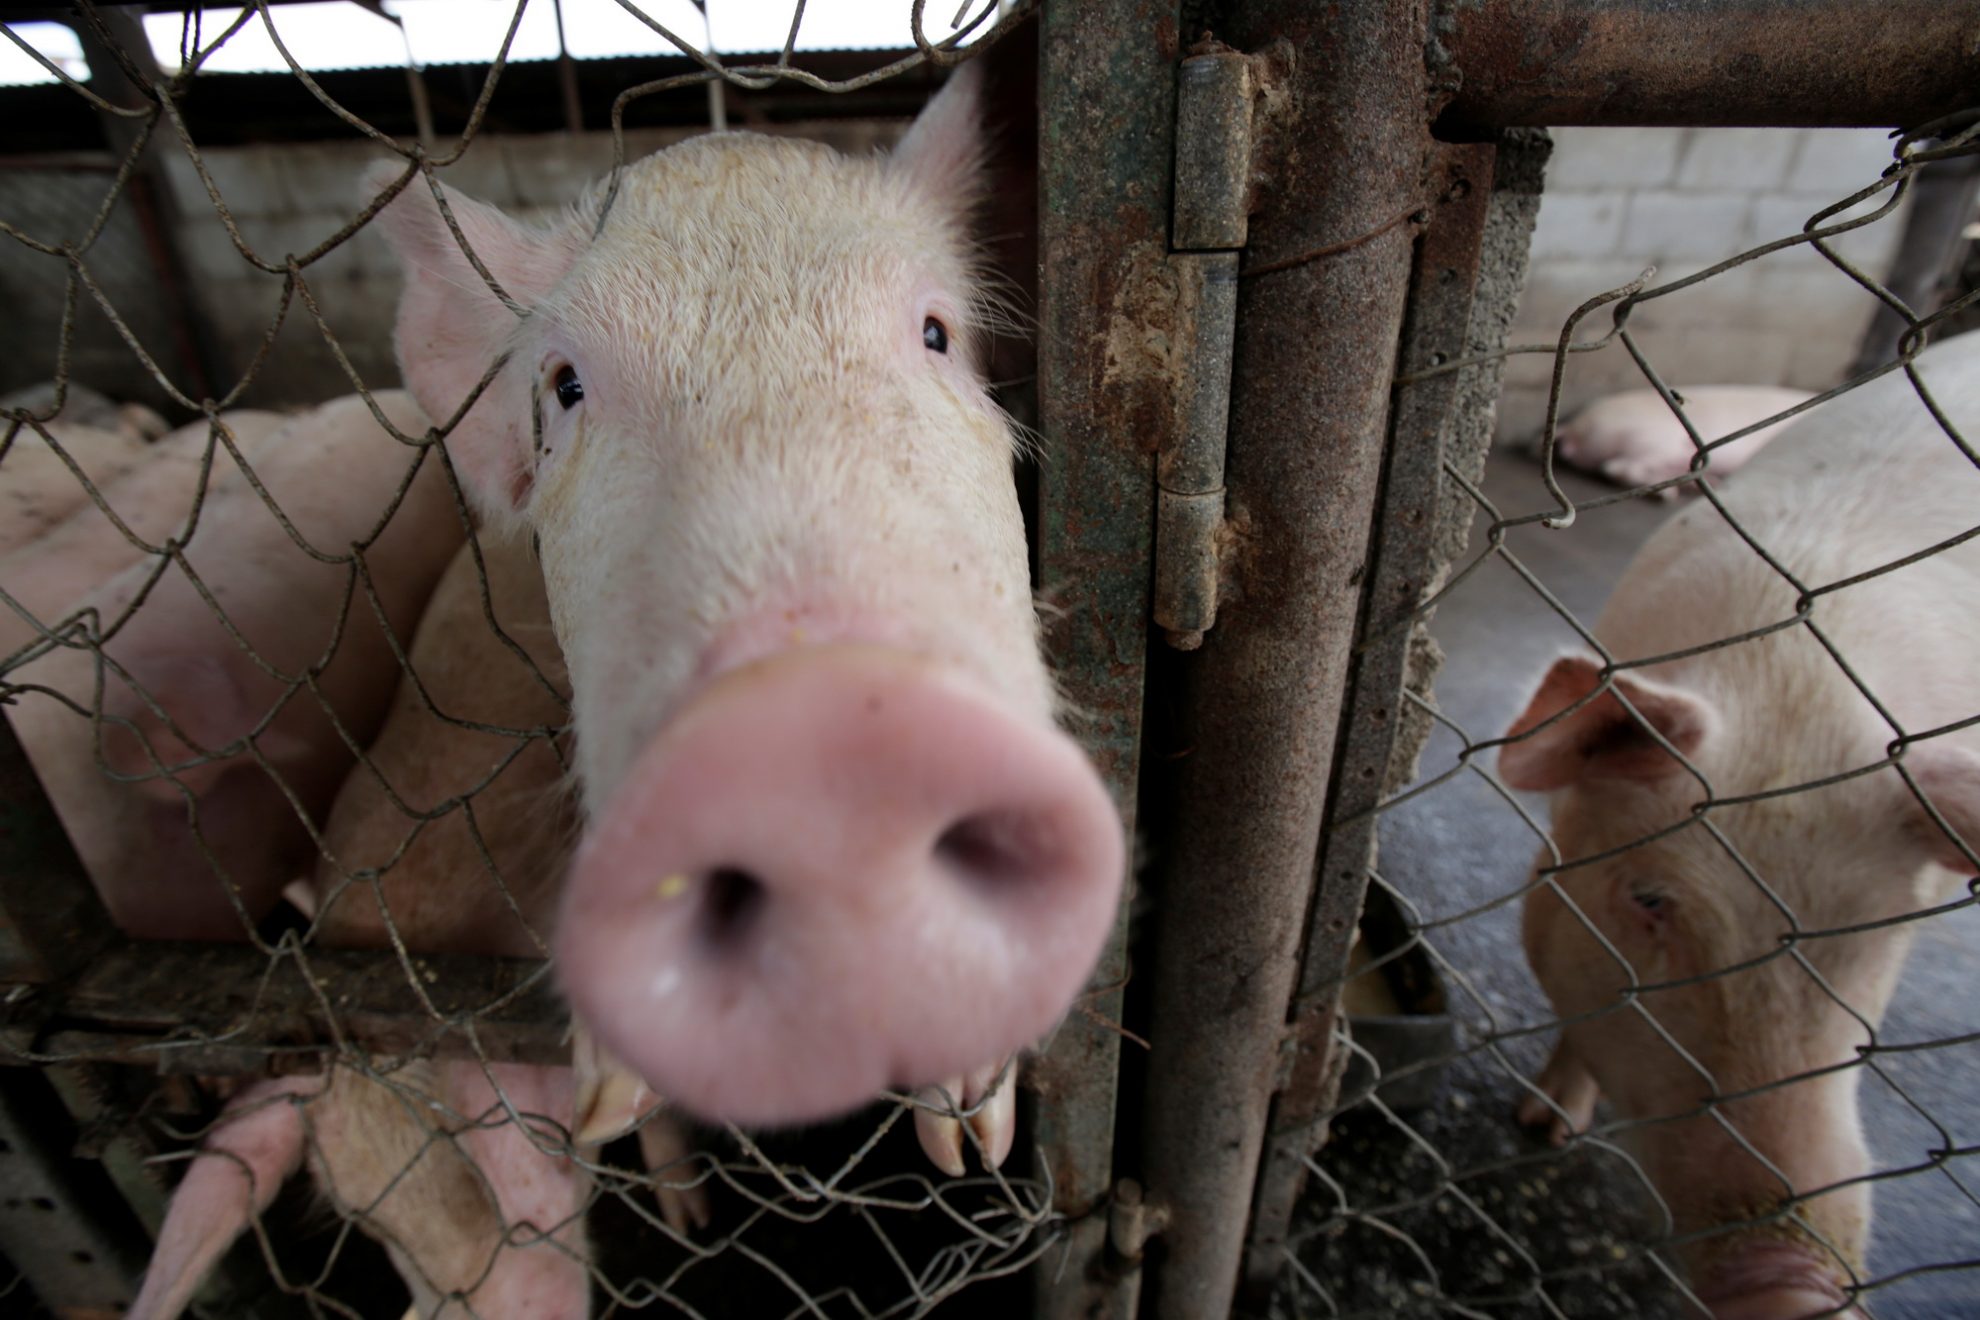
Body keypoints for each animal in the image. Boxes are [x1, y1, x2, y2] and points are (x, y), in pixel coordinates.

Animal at [1496, 332, 1980, 1320]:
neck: (1792, 688)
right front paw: (1541, 1127)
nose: (1793, 1288)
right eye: (1651, 899)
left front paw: (1547, 1130)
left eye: (1881, 936)